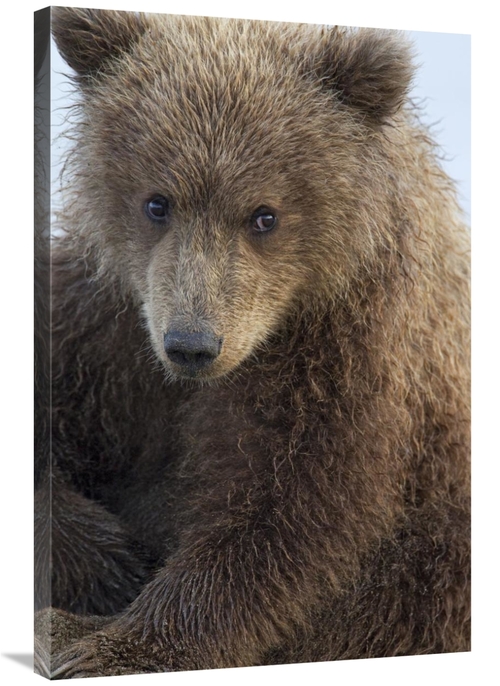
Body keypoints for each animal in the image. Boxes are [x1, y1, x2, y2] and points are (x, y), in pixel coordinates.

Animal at [35, 7, 470, 678]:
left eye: (265, 215)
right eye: (157, 202)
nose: (192, 344)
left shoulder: (348, 358)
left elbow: (281, 517)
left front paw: (110, 646)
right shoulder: (102, 334)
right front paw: (111, 568)